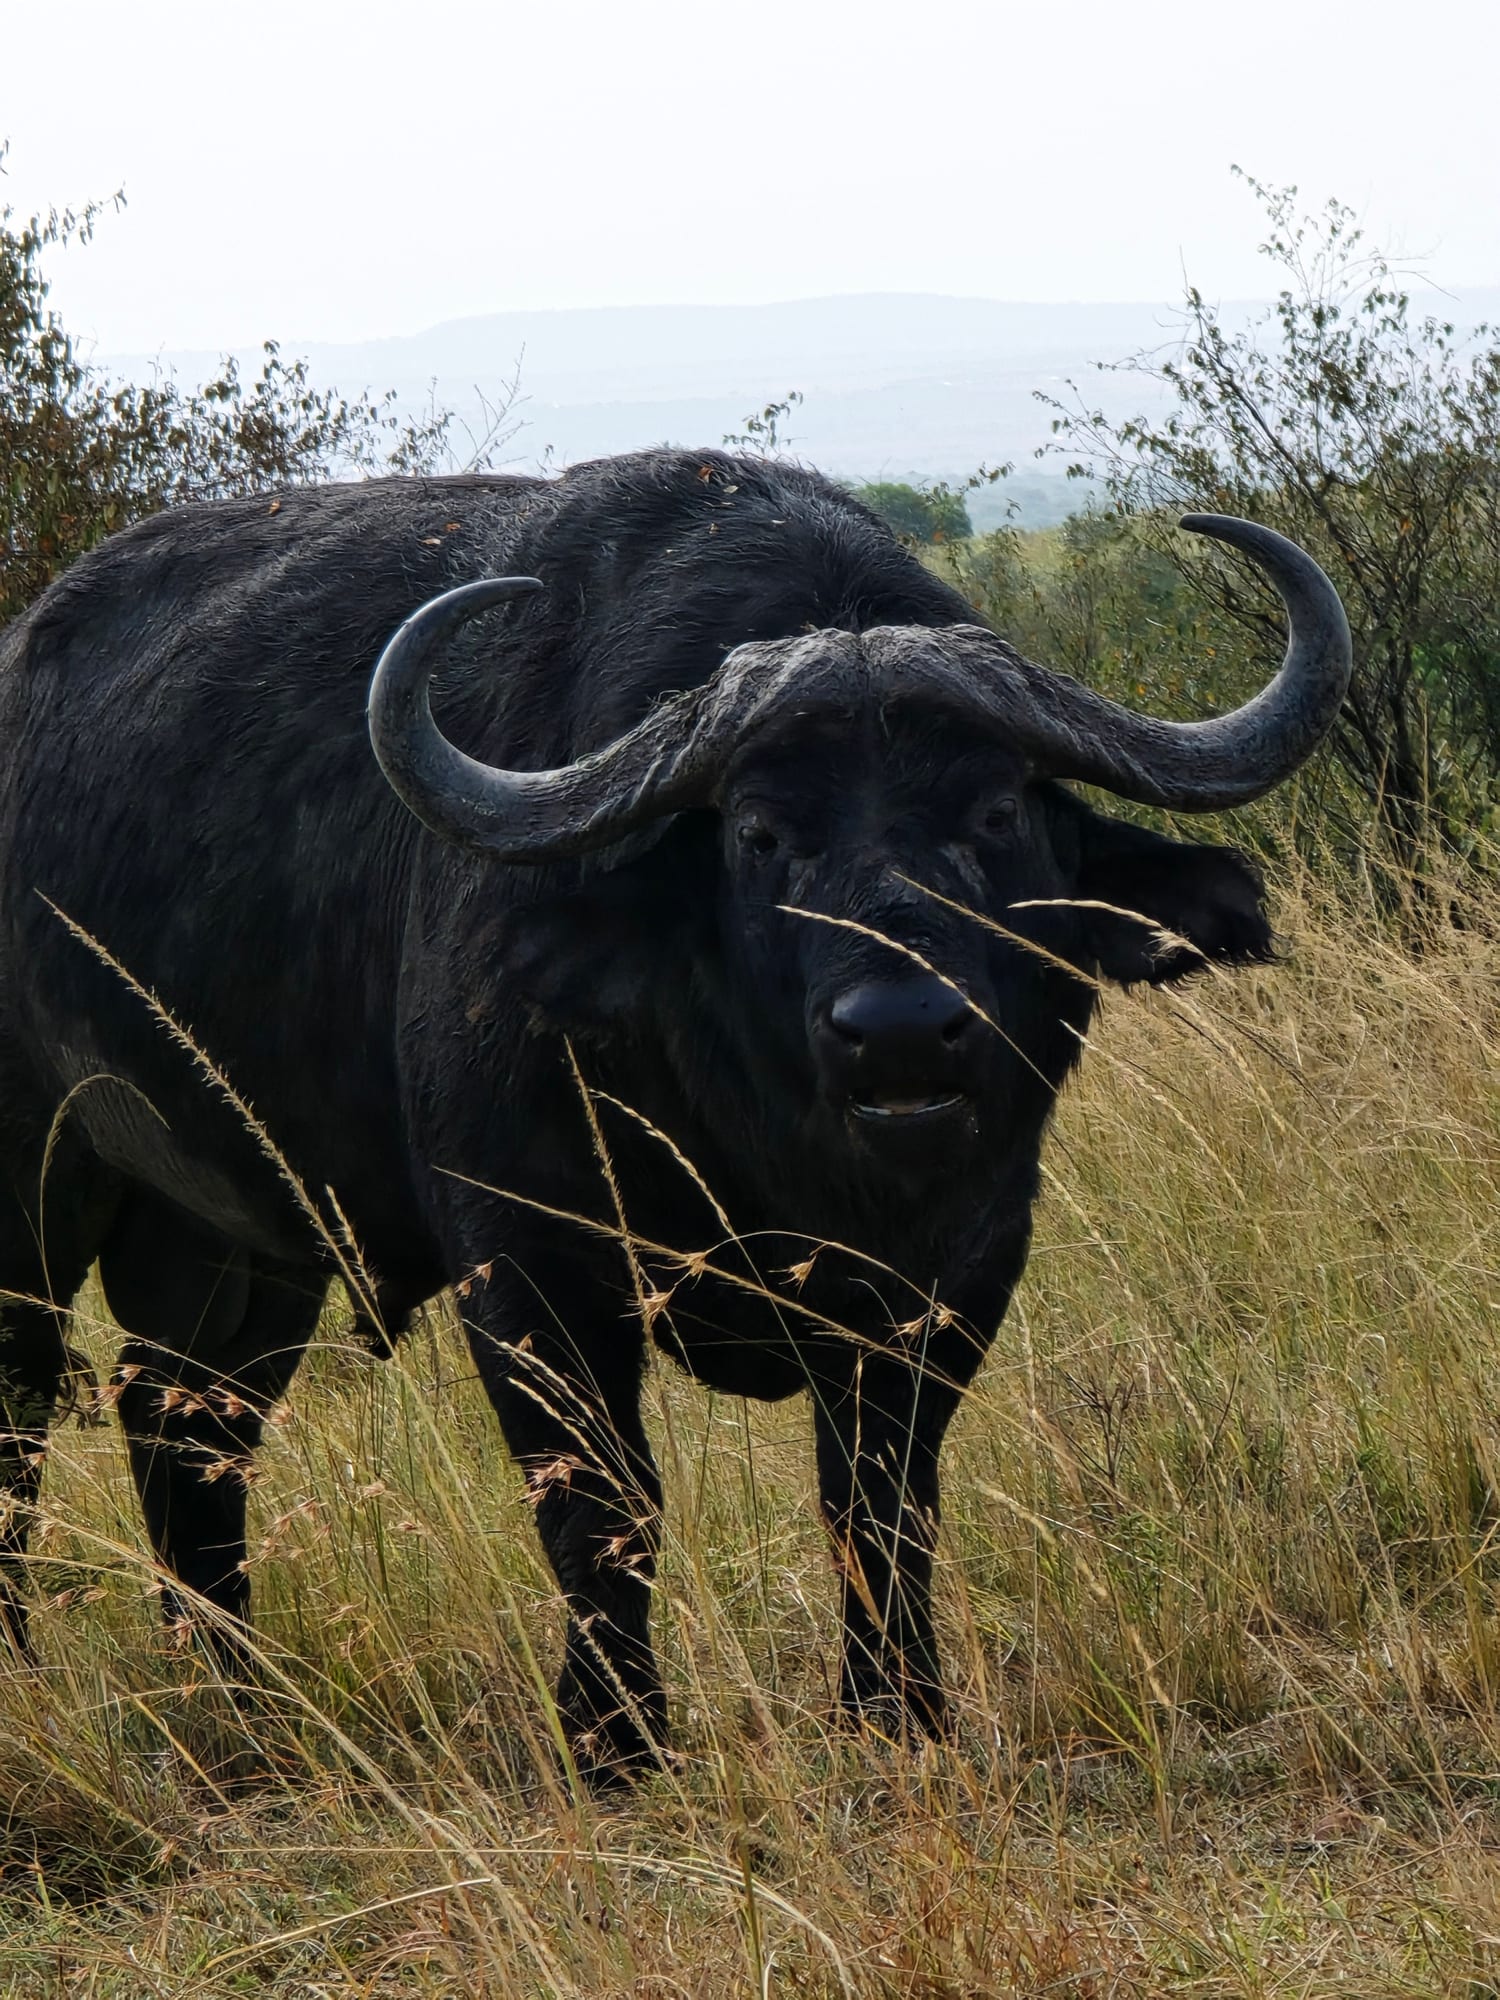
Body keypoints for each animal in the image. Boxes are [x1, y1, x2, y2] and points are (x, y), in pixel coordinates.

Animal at [0, 449, 1350, 1781]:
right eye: (760, 832)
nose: (902, 1028)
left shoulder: (960, 1266)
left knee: (181, 1419)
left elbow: (878, 1494)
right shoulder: (527, 1265)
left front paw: (899, 1711)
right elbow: (607, 1504)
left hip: (236, 1234)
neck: (779, 1152)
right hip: (41, 1200)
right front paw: (618, 1741)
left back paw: (237, 1690)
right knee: (26, 1413)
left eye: (998, 814)